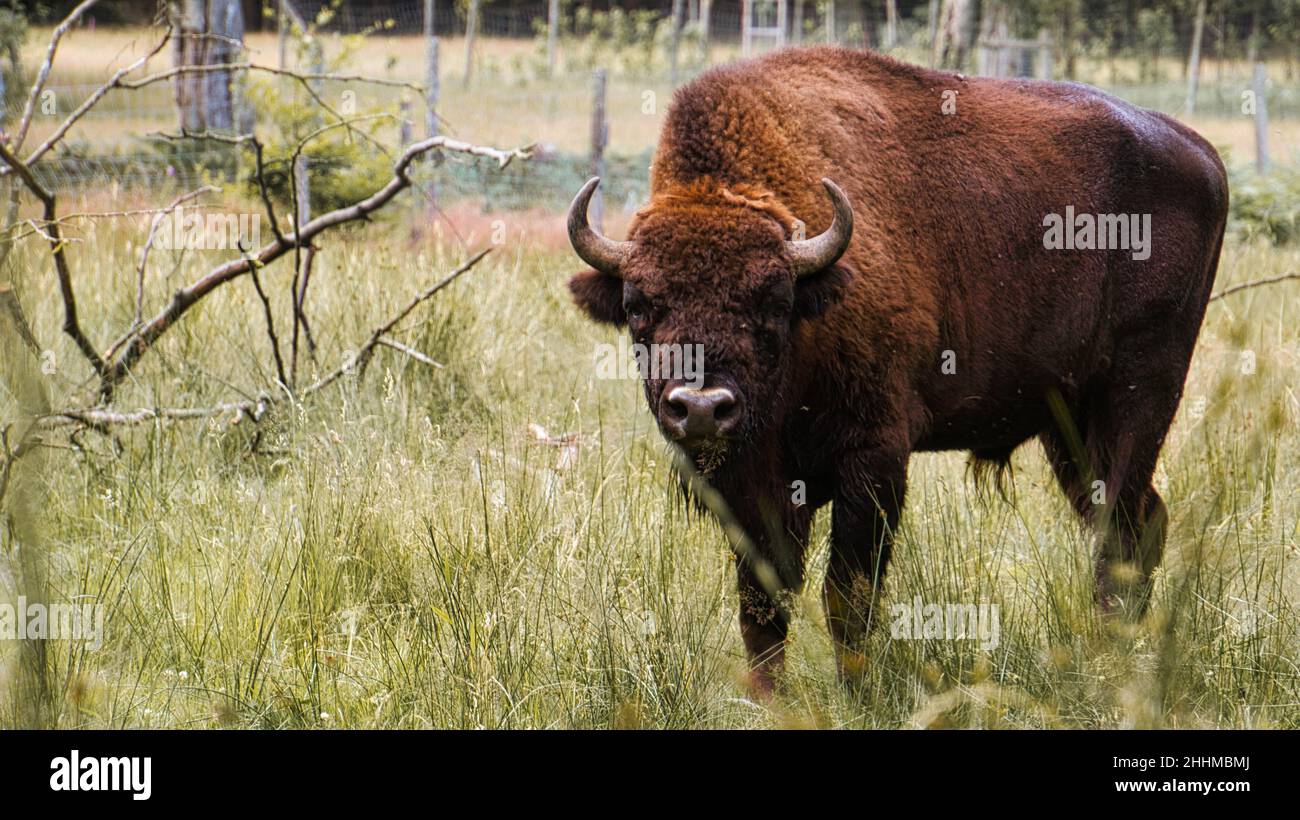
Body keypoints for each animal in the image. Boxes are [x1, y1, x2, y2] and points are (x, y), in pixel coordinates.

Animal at [564, 46, 1222, 691]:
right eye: (638, 306)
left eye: (773, 302)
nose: (701, 408)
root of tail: (1201, 153)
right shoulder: (751, 488)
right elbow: (764, 601)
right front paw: (767, 699)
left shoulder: (873, 458)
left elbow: (847, 595)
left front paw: (857, 694)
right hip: (1066, 425)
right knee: (1134, 521)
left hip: (1136, 399)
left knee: (1121, 528)